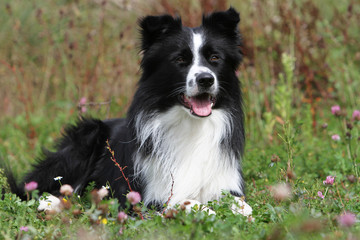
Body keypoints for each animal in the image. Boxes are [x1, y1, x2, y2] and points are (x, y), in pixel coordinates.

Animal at [6, 7, 253, 216]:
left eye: (215, 58)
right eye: (180, 60)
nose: (205, 79)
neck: (191, 124)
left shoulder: (225, 182)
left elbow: (242, 204)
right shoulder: (150, 197)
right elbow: (187, 202)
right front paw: (206, 211)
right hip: (87, 135)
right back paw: (51, 203)